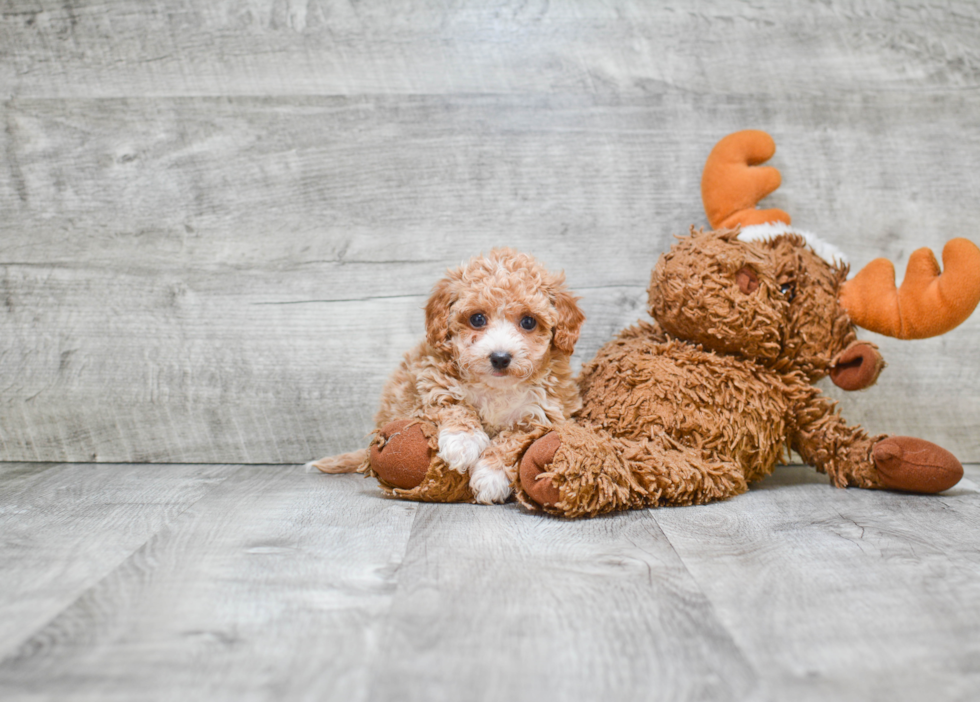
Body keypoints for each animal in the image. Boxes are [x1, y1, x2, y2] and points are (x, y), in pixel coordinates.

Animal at [310, 248, 580, 506]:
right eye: (477, 319)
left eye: (528, 322)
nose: (500, 357)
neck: (496, 387)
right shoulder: (431, 384)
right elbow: (454, 406)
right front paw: (463, 443)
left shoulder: (543, 414)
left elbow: (512, 439)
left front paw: (491, 477)